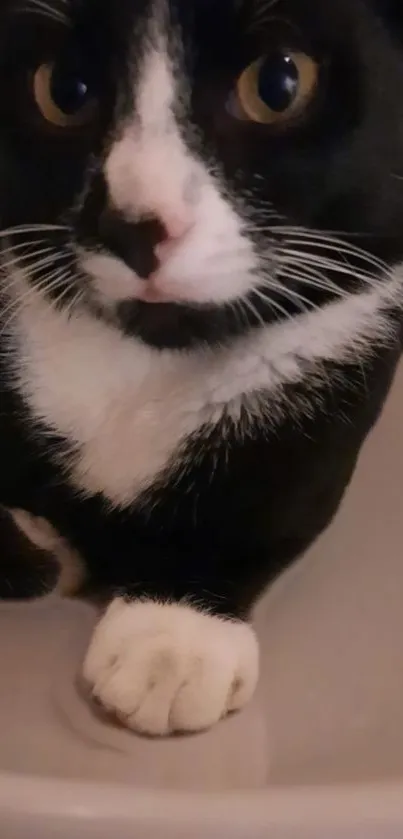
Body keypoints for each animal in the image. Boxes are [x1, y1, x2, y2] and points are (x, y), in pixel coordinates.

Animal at [0, 0, 403, 736]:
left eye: (278, 84)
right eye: (62, 89)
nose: (133, 225)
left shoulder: (351, 345)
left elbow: (278, 484)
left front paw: (171, 638)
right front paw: (39, 550)